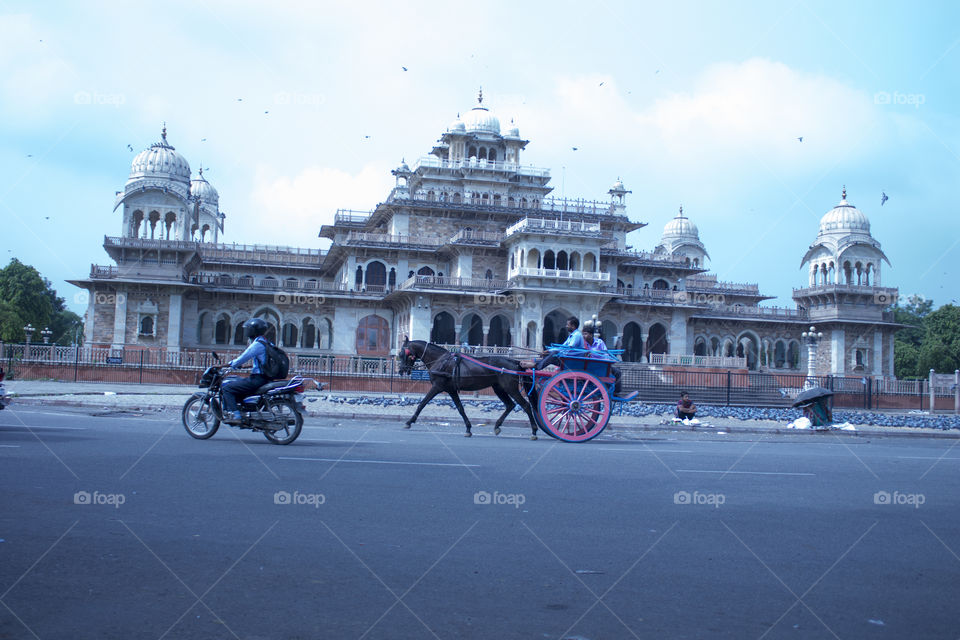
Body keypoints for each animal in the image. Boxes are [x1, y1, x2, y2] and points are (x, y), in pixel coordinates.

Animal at [394, 340, 540, 440]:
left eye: (402, 354)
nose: (401, 370)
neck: (441, 360)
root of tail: (515, 362)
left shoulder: (437, 386)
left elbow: (422, 403)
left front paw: (409, 421)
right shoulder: (451, 390)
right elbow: (460, 408)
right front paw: (468, 428)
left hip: (510, 387)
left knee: (526, 405)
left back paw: (533, 431)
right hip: (499, 388)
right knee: (510, 405)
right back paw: (497, 426)